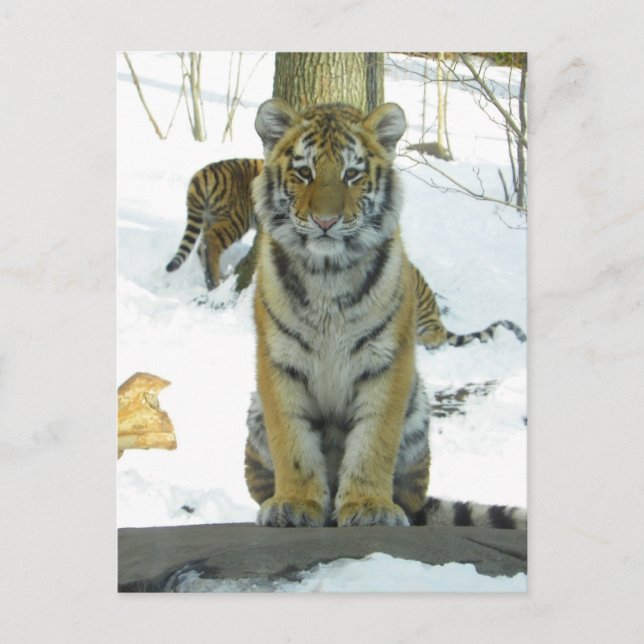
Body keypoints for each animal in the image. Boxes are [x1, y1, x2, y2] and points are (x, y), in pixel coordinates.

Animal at [243, 98, 526, 528]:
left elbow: (374, 440)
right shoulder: (278, 360)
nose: (325, 222)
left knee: (412, 499)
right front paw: (294, 503)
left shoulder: (388, 360)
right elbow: (291, 440)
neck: (328, 274)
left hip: (418, 412)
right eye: (304, 172)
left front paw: (369, 506)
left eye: (352, 174)